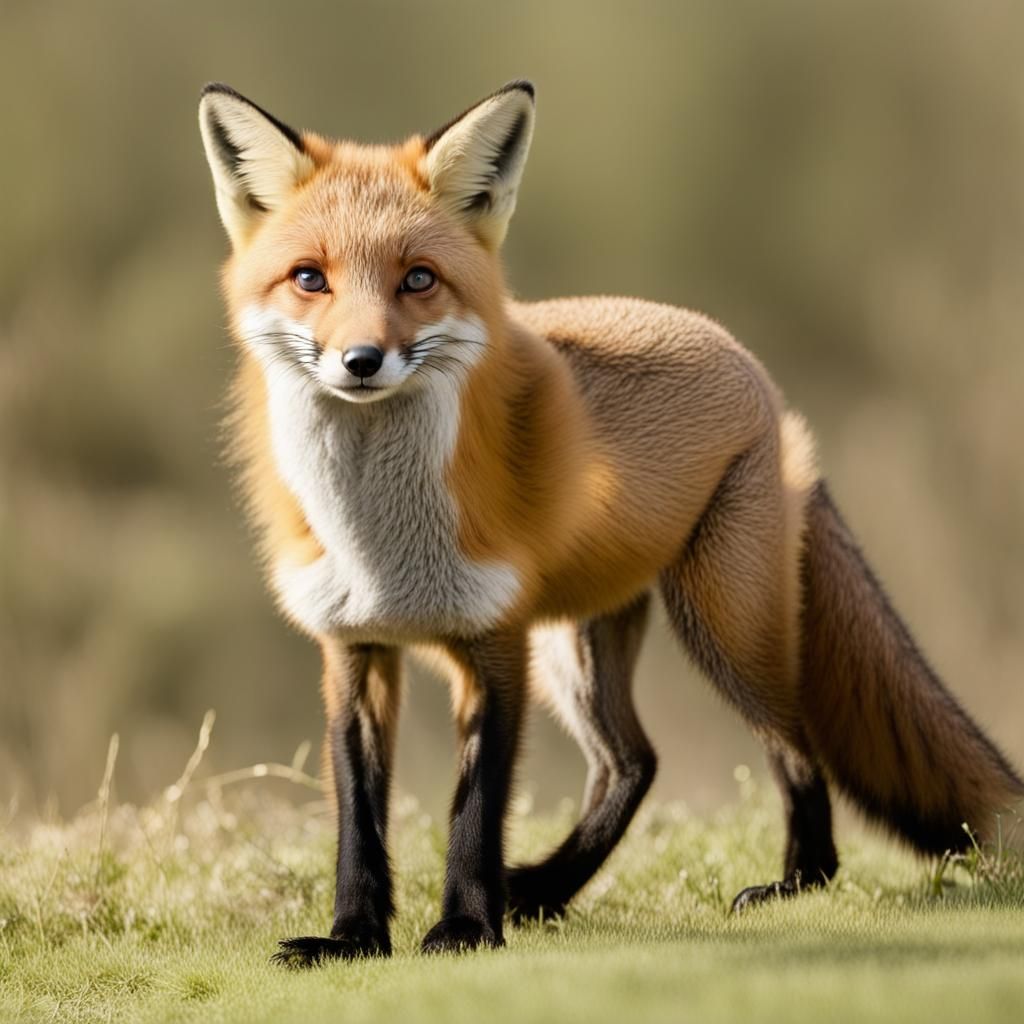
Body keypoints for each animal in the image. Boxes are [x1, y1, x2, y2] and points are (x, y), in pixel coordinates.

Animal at [197, 79, 1023, 967]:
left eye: (418, 279)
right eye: (308, 278)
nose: (360, 362)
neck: (381, 545)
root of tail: (760, 380)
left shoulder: (497, 648)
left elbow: (474, 810)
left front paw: (466, 928)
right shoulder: (353, 649)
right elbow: (358, 816)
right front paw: (353, 937)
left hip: (720, 628)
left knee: (795, 745)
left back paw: (797, 881)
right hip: (579, 647)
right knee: (634, 762)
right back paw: (548, 889)